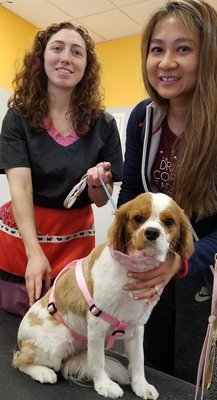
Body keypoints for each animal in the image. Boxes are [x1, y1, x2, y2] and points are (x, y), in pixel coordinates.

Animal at [12, 192, 194, 398]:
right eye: (138, 218)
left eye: (169, 222)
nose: (152, 232)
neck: (132, 271)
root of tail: (21, 340)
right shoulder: (97, 323)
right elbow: (98, 361)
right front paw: (104, 384)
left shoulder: (137, 327)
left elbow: (138, 361)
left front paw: (141, 385)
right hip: (58, 341)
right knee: (19, 361)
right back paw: (42, 372)